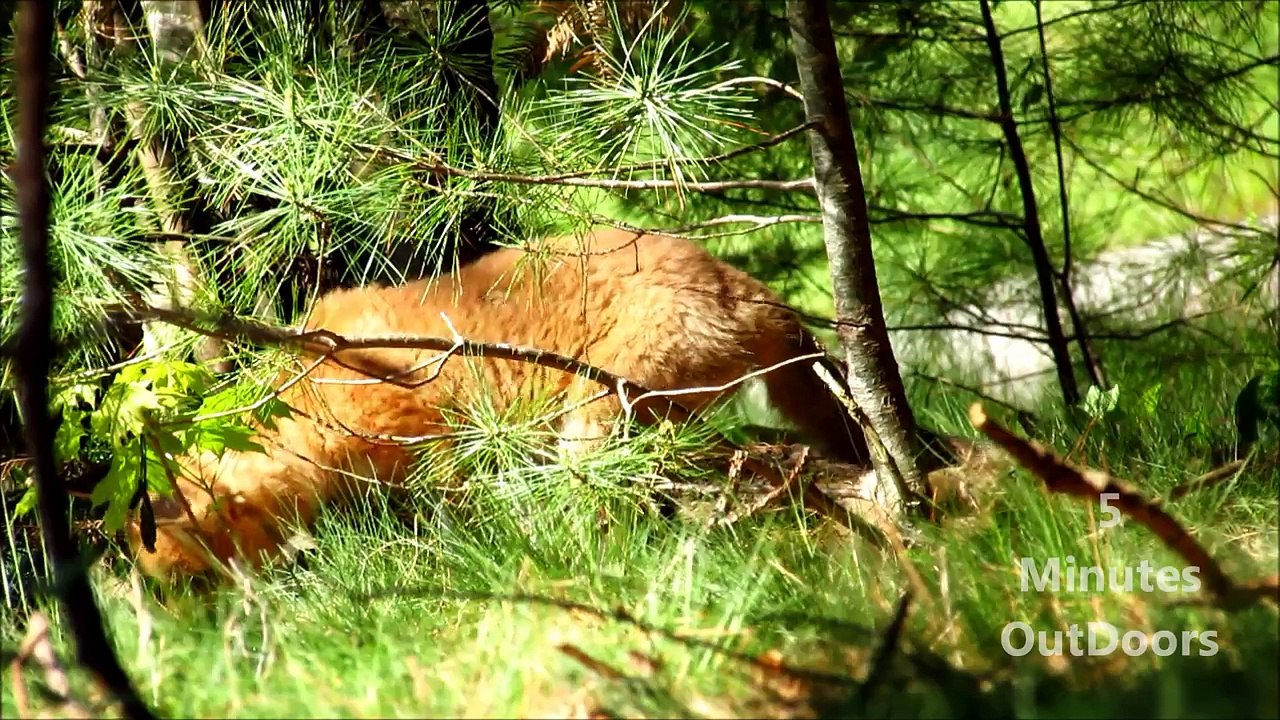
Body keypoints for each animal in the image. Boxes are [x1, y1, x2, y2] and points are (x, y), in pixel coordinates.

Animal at [125, 227, 871, 582]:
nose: (193, 648)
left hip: (599, 414)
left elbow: (455, 521)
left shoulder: (435, 451)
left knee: (599, 503)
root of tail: (740, 282)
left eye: (192, 586)